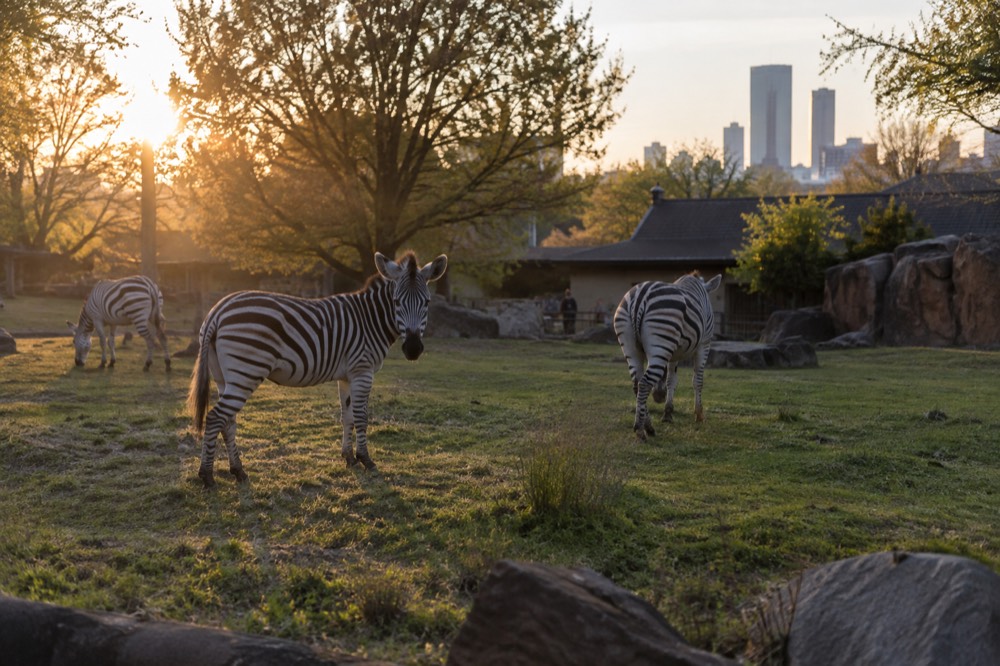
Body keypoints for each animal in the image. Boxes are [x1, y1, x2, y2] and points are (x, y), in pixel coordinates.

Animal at [188, 251, 448, 488]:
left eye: (427, 302)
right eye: (396, 302)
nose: (413, 349)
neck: (370, 319)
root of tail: (217, 311)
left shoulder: (347, 376)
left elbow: (347, 416)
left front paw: (349, 458)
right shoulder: (362, 371)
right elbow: (361, 416)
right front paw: (366, 459)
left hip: (225, 376)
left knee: (228, 421)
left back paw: (238, 471)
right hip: (246, 372)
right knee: (215, 418)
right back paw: (207, 475)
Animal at [613, 273, 722, 440]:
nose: (659, 397)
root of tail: (639, 297)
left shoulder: (673, 354)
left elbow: (671, 380)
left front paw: (668, 413)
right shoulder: (704, 344)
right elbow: (698, 381)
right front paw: (699, 414)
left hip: (632, 347)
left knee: (637, 384)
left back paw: (649, 426)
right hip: (662, 340)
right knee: (644, 383)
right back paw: (640, 429)